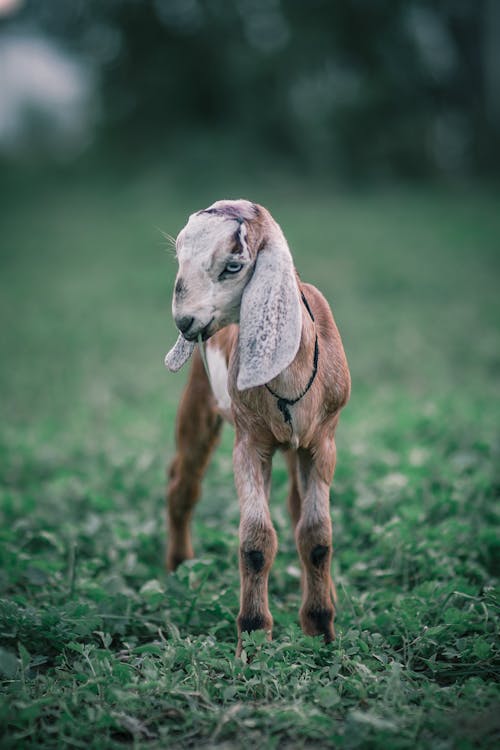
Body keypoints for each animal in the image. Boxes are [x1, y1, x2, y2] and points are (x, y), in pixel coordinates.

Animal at [163, 200, 348, 652]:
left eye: (233, 265)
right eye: (179, 257)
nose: (184, 322)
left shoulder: (322, 442)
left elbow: (316, 536)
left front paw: (322, 631)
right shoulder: (248, 443)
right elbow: (256, 541)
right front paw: (253, 637)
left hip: (296, 446)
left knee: (297, 507)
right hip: (199, 398)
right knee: (183, 484)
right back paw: (179, 568)